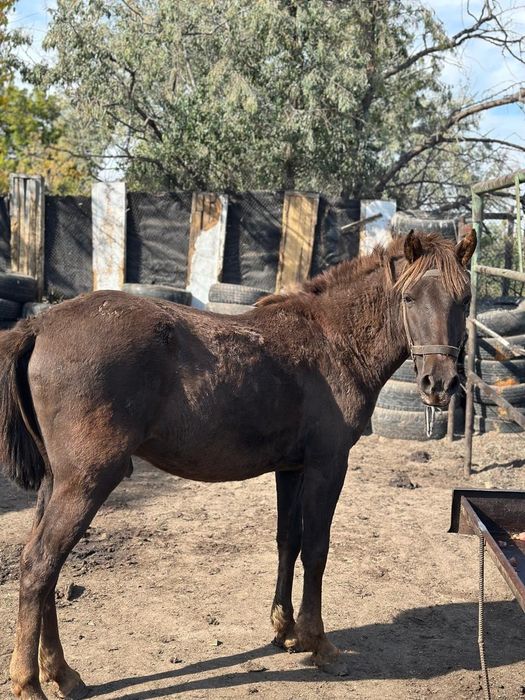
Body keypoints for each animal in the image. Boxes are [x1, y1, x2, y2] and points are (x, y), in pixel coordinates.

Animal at [0, 229, 476, 699]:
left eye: (465, 299)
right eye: (410, 297)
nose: (440, 383)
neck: (333, 341)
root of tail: (40, 326)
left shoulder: (292, 469)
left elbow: (289, 542)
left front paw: (285, 631)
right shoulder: (327, 465)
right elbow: (316, 549)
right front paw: (318, 643)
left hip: (57, 483)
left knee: (43, 568)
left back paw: (62, 673)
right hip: (88, 481)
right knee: (41, 562)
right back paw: (29, 684)